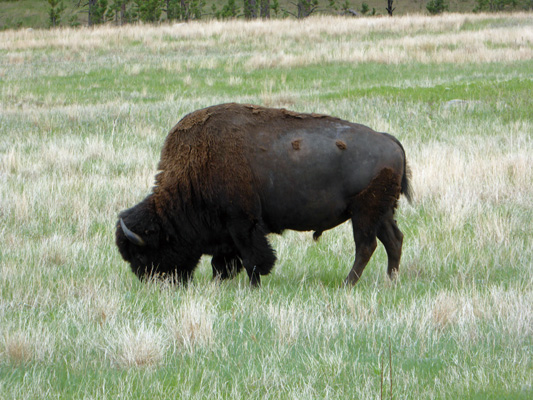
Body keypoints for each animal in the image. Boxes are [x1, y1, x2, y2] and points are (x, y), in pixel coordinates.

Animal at [115, 101, 412, 286]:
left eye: (142, 255)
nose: (154, 283)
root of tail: (389, 140)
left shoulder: (242, 224)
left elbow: (253, 258)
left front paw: (253, 285)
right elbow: (225, 263)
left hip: (364, 212)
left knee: (366, 246)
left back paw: (347, 283)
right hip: (381, 212)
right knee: (393, 240)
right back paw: (391, 280)